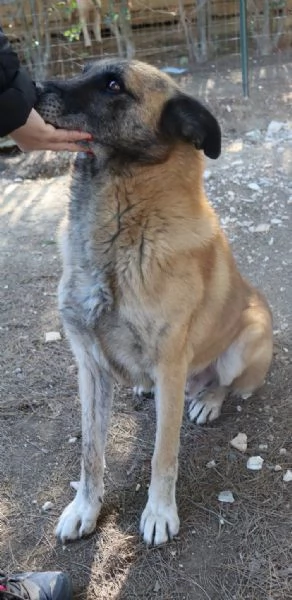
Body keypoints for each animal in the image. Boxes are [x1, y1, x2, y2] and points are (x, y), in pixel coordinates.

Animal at [36, 58, 274, 548]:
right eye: (85, 69)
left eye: (113, 85)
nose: (30, 88)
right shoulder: (89, 366)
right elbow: (90, 452)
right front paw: (85, 509)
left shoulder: (169, 363)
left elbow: (163, 455)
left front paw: (160, 513)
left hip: (247, 337)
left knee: (224, 382)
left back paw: (208, 400)